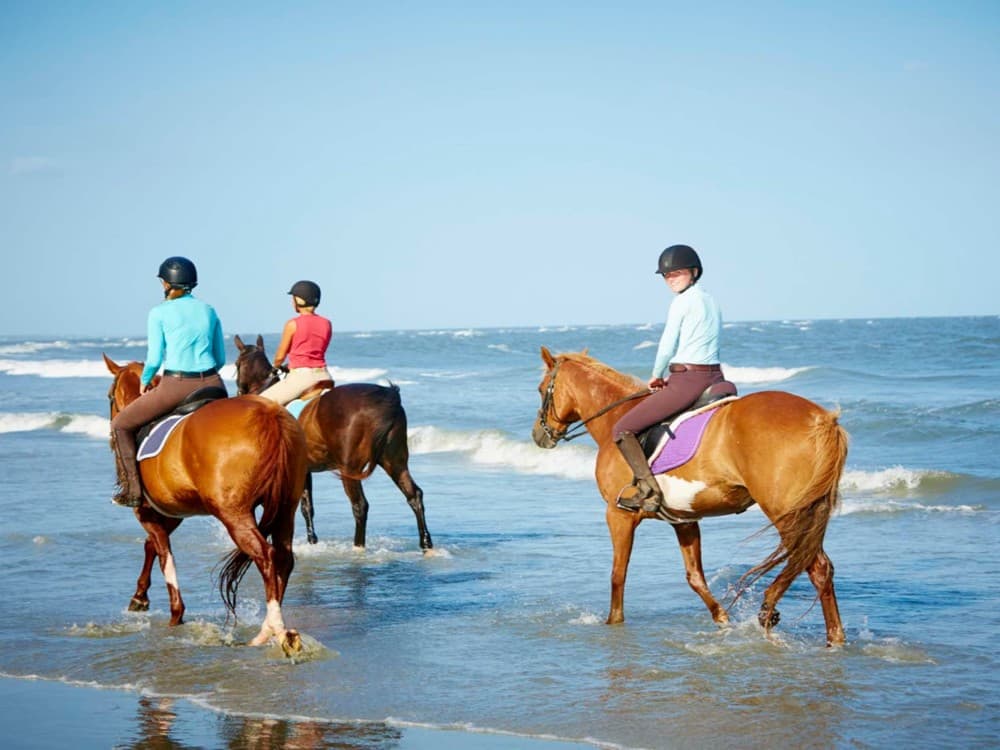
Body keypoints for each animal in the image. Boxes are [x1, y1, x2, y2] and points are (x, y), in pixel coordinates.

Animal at [103, 355, 308, 654]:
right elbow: (152, 546)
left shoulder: (147, 513)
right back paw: (269, 628)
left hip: (234, 514)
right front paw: (140, 597)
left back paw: (272, 630)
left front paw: (175, 615)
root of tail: (271, 417)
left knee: (266, 556)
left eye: (110, 397)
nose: (110, 436)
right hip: (286, 507)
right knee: (284, 558)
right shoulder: (172, 512)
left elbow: (165, 556)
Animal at [232, 335, 433, 552]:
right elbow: (306, 506)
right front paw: (312, 541)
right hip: (394, 461)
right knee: (413, 495)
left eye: (236, 364)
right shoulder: (303, 470)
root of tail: (388, 398)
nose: (238, 392)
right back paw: (426, 544)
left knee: (360, 505)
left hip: (351, 469)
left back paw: (358, 547)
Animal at [531, 347, 848, 646]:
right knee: (819, 567)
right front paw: (722, 619)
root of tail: (823, 419)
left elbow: (617, 574)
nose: (538, 436)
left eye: (541, 388)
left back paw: (777, 613)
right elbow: (695, 578)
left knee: (815, 566)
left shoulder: (618, 514)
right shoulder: (683, 519)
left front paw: (613, 622)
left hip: (787, 512)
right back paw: (832, 638)